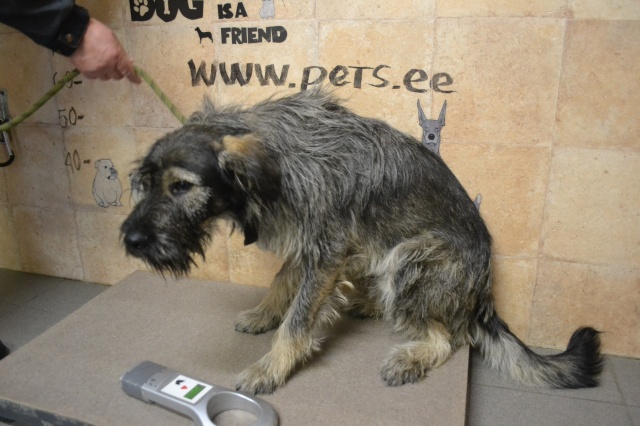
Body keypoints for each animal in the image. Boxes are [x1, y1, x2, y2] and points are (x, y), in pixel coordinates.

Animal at [121, 89, 602, 395]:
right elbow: (283, 282)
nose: (131, 240)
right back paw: (366, 304)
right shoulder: (310, 244)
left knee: (447, 338)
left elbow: (298, 321)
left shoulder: (327, 250)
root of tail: (483, 293)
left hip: (412, 257)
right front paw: (264, 313)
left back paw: (411, 356)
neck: (277, 162)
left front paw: (271, 367)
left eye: (181, 187)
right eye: (146, 182)